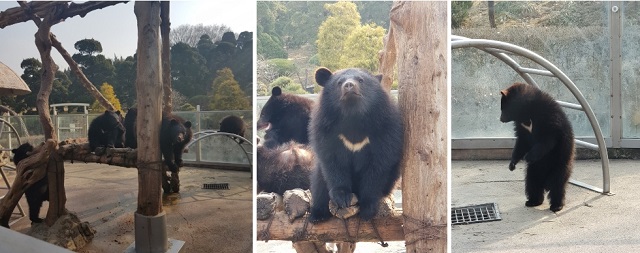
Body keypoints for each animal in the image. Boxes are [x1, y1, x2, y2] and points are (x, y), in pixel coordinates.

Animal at [308, 67, 402, 223]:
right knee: (319, 182)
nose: (349, 85)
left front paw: (367, 208)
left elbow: (378, 165)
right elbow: (332, 162)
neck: (353, 116)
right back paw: (317, 215)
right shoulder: (326, 129)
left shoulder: (385, 129)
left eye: (360, 80)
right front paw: (342, 197)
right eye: (339, 82)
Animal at [500, 82, 576, 211]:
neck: (526, 114)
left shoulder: (548, 118)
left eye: (503, 107)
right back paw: (533, 201)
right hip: (534, 170)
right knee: (532, 183)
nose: (500, 119)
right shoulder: (522, 128)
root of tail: (546, 182)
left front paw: (528, 156)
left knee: (557, 185)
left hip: (560, 163)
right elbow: (521, 143)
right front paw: (512, 164)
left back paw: (556, 205)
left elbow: (546, 141)